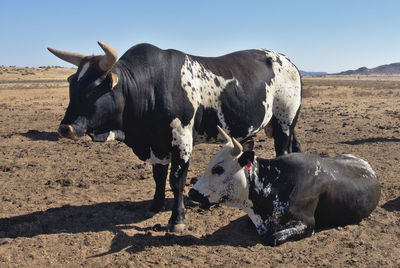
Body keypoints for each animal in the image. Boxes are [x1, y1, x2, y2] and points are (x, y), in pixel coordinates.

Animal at [47, 41, 304, 232]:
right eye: (73, 85)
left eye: (94, 87)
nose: (65, 128)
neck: (149, 87)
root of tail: (286, 60)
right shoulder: (157, 144)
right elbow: (159, 176)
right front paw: (156, 204)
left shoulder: (181, 139)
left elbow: (176, 179)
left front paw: (177, 219)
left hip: (284, 121)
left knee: (283, 152)